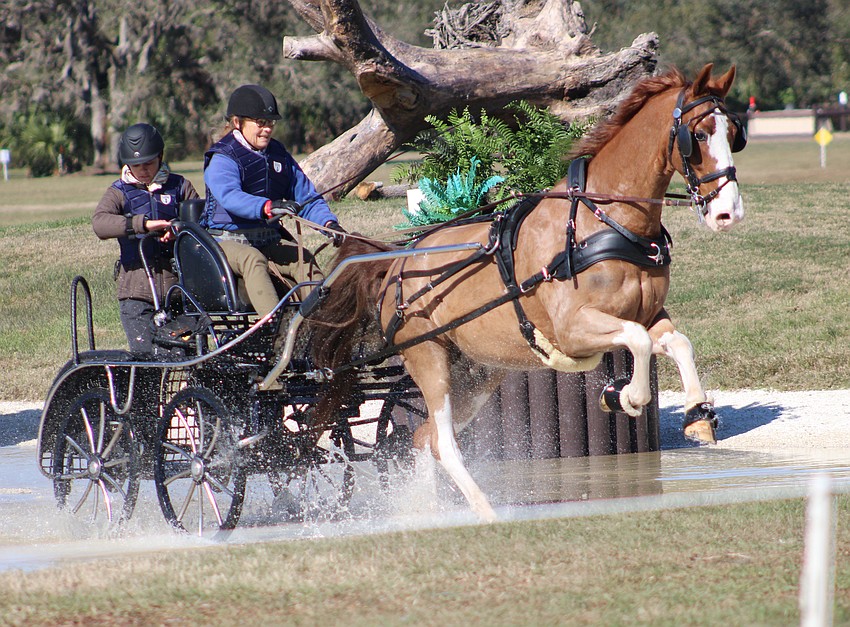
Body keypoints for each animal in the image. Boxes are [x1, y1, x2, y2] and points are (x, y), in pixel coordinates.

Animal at [310, 63, 745, 521]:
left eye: (735, 133)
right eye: (699, 136)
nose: (728, 213)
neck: (604, 222)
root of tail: (396, 262)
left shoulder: (649, 314)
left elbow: (677, 342)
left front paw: (697, 416)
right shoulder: (574, 329)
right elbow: (638, 341)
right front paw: (625, 396)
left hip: (476, 375)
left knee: (423, 438)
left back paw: (430, 511)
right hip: (429, 360)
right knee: (442, 442)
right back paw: (483, 509)